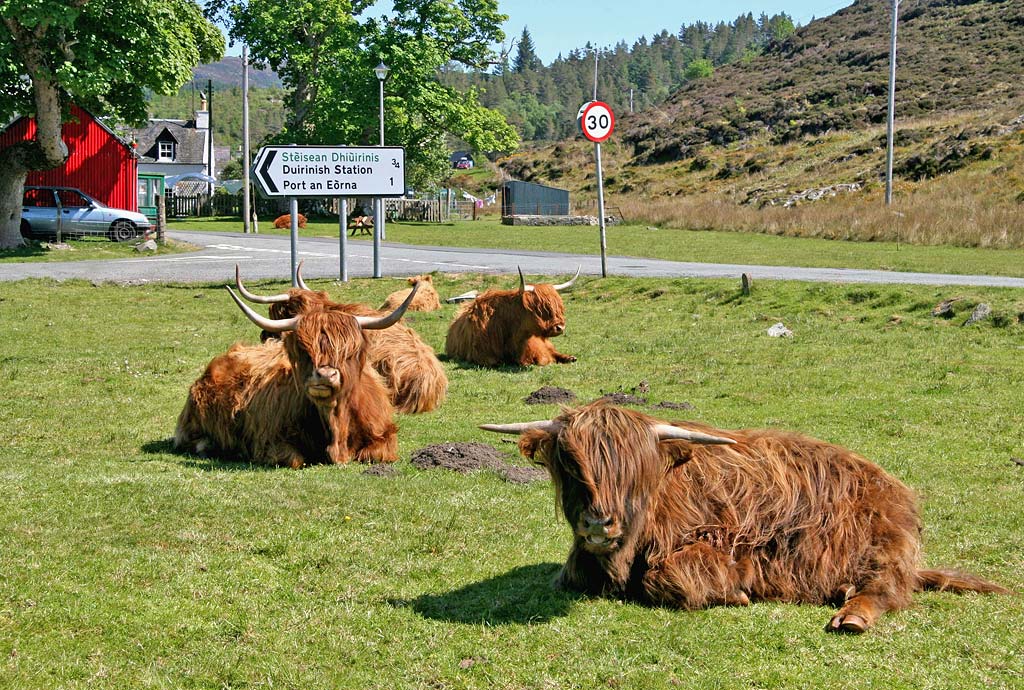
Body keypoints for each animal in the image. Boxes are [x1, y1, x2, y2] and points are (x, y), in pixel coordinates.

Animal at [174, 282, 417, 464]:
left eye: (349, 351)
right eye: (304, 350)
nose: (325, 376)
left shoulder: (385, 436)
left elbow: (375, 454)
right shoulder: (270, 441)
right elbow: (295, 459)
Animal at [446, 266, 581, 368]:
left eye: (559, 308)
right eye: (538, 309)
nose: (560, 327)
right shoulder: (480, 355)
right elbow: (495, 362)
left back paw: (570, 358)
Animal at [481, 397, 1007, 630]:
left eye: (636, 471)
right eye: (571, 464)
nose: (597, 523)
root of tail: (887, 482)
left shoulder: (732, 546)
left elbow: (667, 577)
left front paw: (735, 594)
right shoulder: (579, 565)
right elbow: (572, 575)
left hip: (879, 548)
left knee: (884, 589)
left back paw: (852, 615)